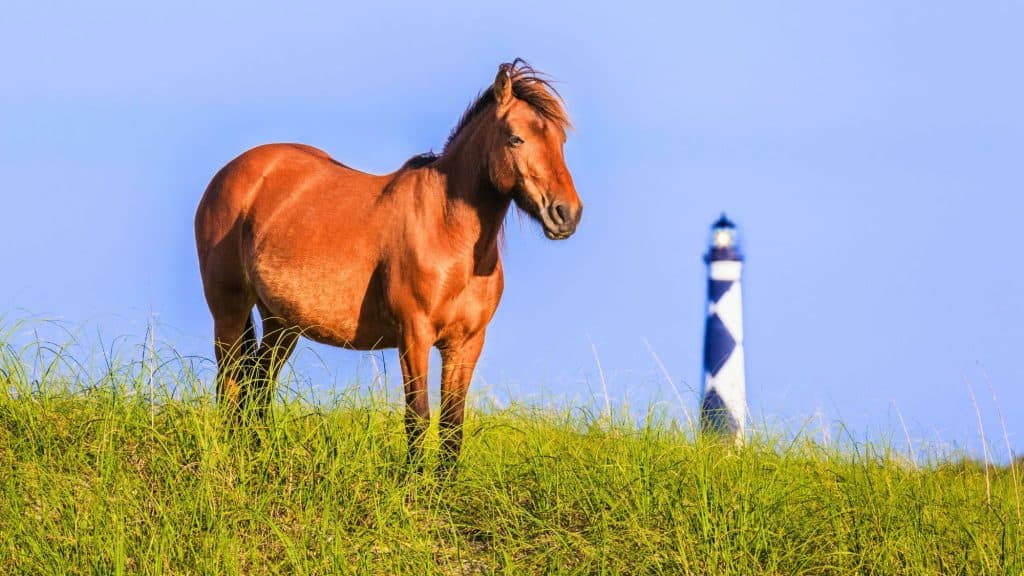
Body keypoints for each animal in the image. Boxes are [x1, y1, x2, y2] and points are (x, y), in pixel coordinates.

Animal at [194, 59, 582, 466]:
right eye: (515, 139)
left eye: (561, 141)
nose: (566, 214)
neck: (449, 235)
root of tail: (234, 171)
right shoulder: (413, 336)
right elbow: (418, 418)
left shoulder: (467, 343)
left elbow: (452, 426)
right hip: (229, 310)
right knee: (230, 383)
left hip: (281, 323)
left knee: (257, 386)